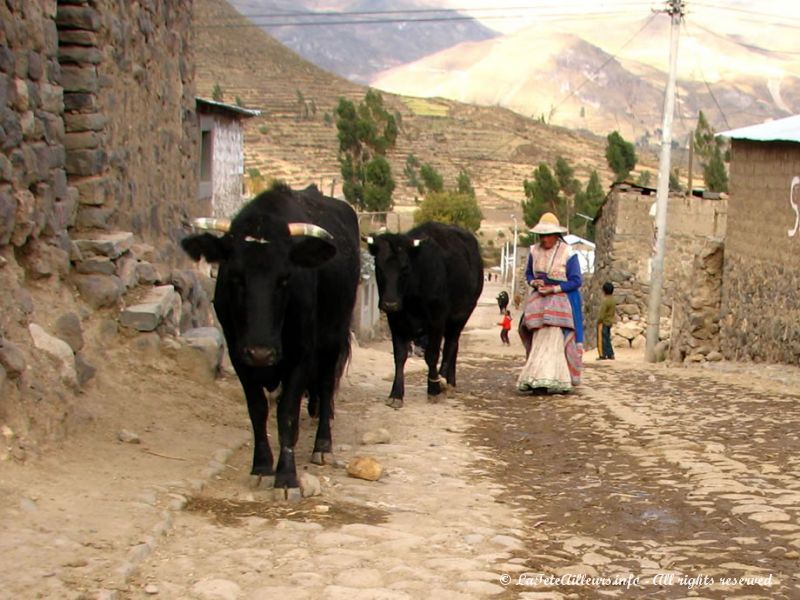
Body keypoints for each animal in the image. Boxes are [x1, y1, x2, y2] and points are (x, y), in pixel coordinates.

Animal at [181, 184, 360, 496]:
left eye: (285, 278)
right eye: (236, 277)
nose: (261, 352)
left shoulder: (301, 355)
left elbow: (287, 412)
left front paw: (286, 477)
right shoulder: (239, 355)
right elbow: (258, 410)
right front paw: (262, 467)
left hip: (333, 338)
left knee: (326, 386)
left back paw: (322, 446)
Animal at [366, 223, 484, 410]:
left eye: (405, 269)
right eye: (379, 268)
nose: (390, 304)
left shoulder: (437, 319)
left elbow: (432, 355)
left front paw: (434, 389)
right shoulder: (396, 321)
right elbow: (400, 356)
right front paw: (396, 394)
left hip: (461, 315)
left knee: (451, 345)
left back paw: (443, 380)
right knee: (454, 346)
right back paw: (450, 382)